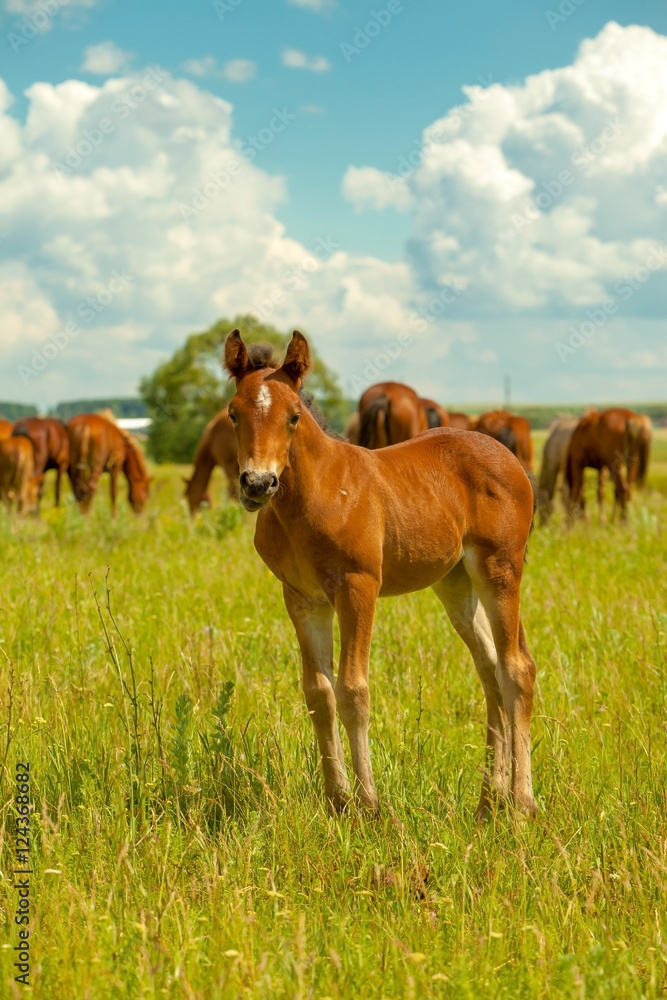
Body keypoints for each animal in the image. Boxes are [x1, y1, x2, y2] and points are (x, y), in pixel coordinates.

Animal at [227, 330, 540, 820]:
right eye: (233, 413)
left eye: (294, 416)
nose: (257, 484)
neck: (312, 496)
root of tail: (511, 460)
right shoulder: (302, 598)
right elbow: (318, 693)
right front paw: (337, 801)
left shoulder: (358, 587)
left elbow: (353, 690)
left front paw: (370, 806)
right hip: (455, 583)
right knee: (488, 668)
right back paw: (490, 799)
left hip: (500, 569)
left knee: (515, 668)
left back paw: (522, 803)